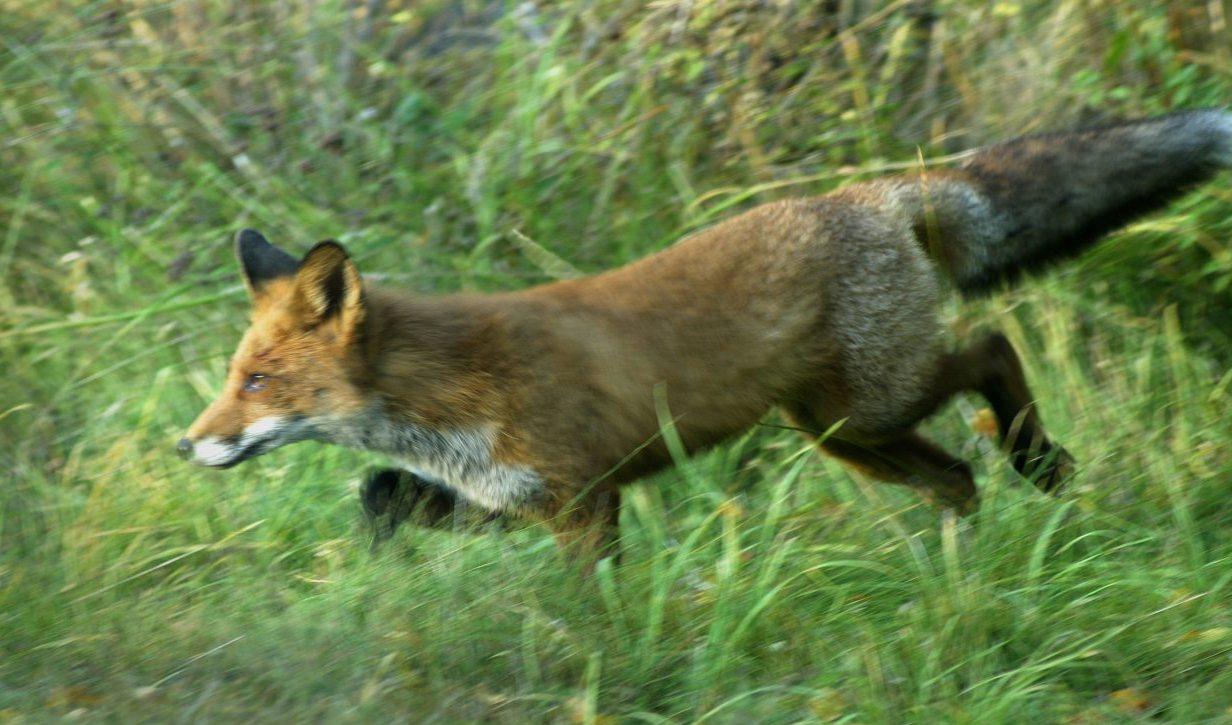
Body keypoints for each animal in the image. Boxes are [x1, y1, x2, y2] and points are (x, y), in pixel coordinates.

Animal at [178, 110, 1232, 557]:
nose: (187, 444)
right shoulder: (511, 496)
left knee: (994, 348)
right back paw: (962, 571)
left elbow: (589, 599)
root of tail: (864, 195)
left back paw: (1038, 461)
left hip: (874, 400)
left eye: (258, 383)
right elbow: (381, 494)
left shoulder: (582, 498)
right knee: (955, 479)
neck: (449, 395)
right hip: (845, 431)